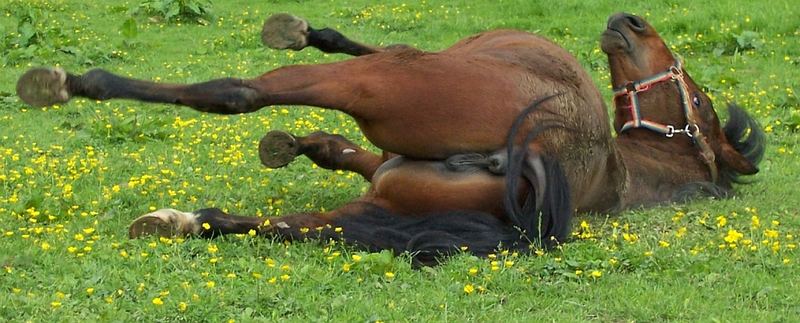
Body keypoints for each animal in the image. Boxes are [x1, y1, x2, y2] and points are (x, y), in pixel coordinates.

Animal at [14, 12, 764, 266]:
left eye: (694, 97)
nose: (629, 21)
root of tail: (541, 151)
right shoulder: (385, 169)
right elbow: (342, 151)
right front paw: (297, 143)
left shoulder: (392, 90)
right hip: (366, 209)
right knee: (283, 227)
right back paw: (177, 220)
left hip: (381, 87)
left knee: (238, 94)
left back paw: (68, 83)